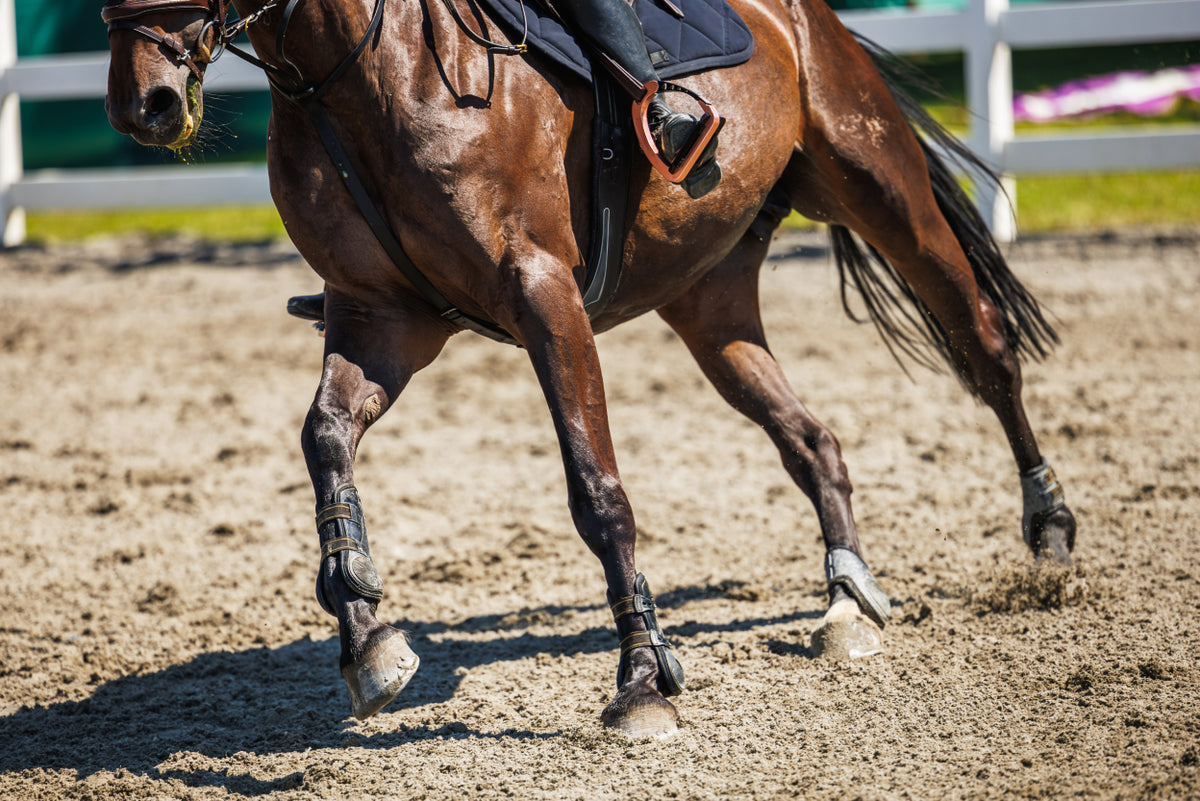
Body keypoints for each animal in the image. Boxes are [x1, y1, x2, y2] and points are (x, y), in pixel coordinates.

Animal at [105, 0, 1080, 738]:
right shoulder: (379, 318)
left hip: (882, 193)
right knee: (813, 441)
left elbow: (597, 492)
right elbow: (325, 441)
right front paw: (366, 635)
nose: (141, 104)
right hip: (710, 303)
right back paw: (844, 599)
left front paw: (644, 678)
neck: (362, 76)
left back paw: (1051, 531)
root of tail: (809, 19)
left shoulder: (546, 298)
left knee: (986, 350)